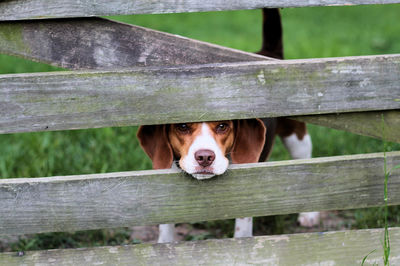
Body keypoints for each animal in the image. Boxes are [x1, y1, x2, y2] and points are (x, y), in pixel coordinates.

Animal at [138, 8, 318, 243]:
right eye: (183, 126)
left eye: (223, 126)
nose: (205, 157)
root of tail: (268, 53)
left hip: (296, 136)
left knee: (306, 163)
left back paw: (309, 213)